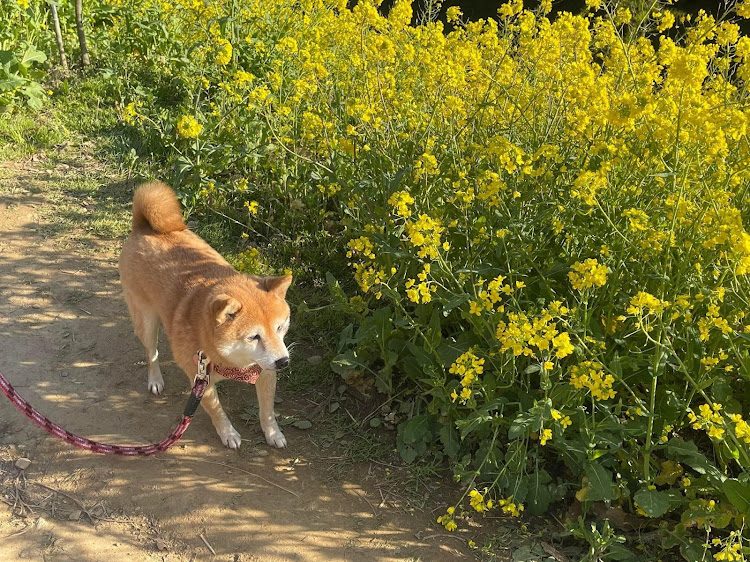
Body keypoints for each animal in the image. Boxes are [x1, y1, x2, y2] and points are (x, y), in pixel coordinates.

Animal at [119, 182, 292, 448]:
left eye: (280, 328)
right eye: (254, 337)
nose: (283, 361)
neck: (233, 362)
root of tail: (144, 228)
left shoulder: (265, 371)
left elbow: (267, 411)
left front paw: (273, 434)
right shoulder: (200, 380)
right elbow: (217, 412)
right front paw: (228, 433)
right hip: (146, 322)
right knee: (152, 353)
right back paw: (155, 379)